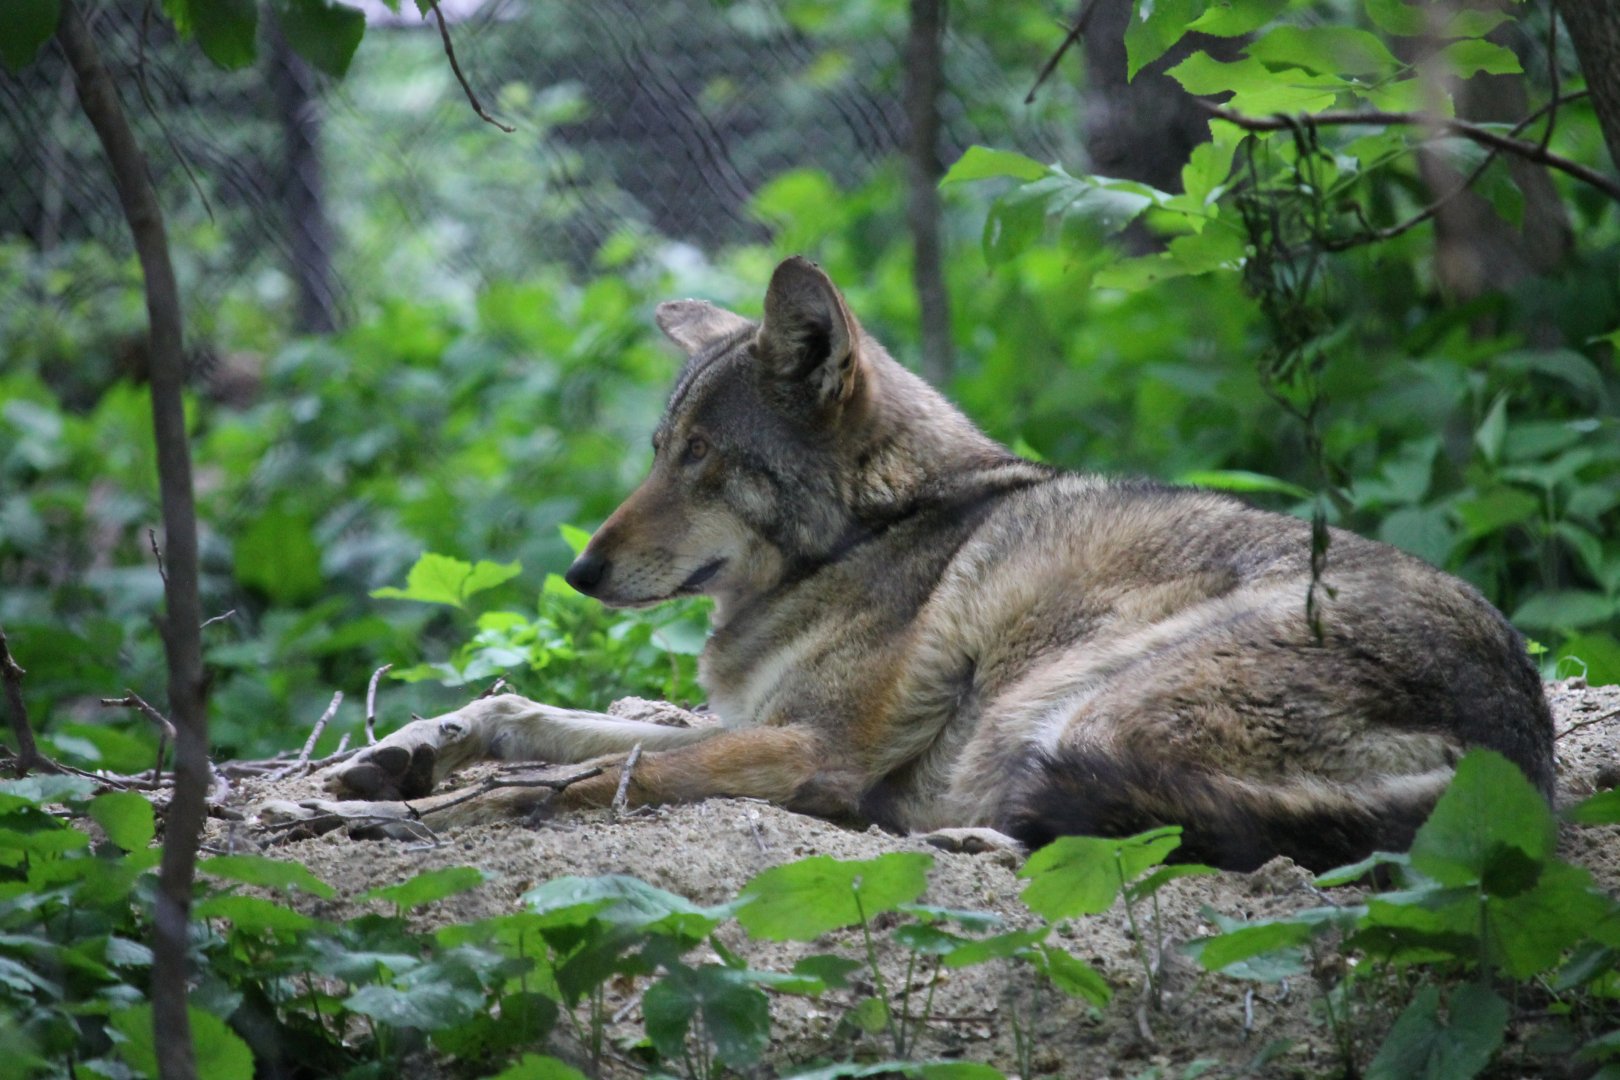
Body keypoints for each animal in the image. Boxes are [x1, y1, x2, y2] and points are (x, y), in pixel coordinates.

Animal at [312, 256, 1555, 872]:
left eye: (705, 461)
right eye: (660, 451)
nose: (577, 573)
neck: (877, 527)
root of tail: (1526, 764)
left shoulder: (806, 749)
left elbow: (564, 784)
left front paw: (408, 817)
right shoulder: (748, 723)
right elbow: (535, 718)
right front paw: (409, 754)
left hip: (1078, 706)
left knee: (1143, 833)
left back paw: (957, 838)